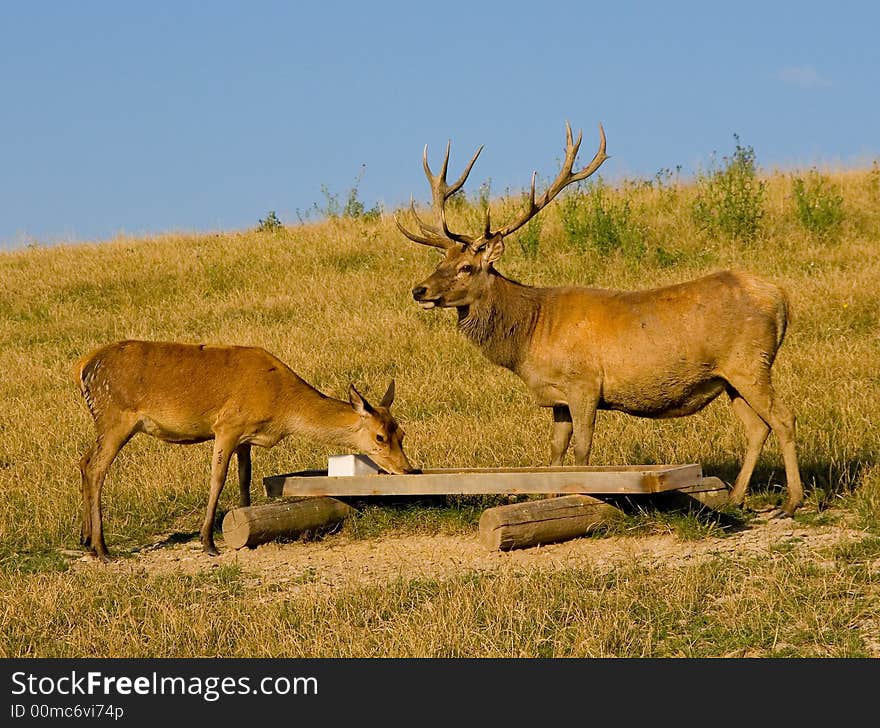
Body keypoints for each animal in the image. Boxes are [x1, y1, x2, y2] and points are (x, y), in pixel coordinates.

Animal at [74, 338, 414, 560]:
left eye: (402, 432)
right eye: (380, 437)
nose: (407, 469)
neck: (282, 407)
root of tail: (83, 367)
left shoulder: (246, 439)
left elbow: (244, 479)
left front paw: (246, 524)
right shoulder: (227, 426)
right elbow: (217, 479)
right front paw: (208, 542)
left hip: (104, 420)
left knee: (84, 460)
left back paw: (85, 539)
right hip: (115, 414)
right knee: (96, 467)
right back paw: (103, 549)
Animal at [398, 122, 804, 516]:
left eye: (466, 267)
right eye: (441, 261)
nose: (419, 289)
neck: (531, 334)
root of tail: (780, 297)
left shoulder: (585, 384)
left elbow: (583, 450)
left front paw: (583, 496)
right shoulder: (558, 398)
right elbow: (555, 452)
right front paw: (549, 498)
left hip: (750, 361)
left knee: (783, 418)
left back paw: (792, 501)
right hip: (729, 375)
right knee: (757, 428)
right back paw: (737, 498)